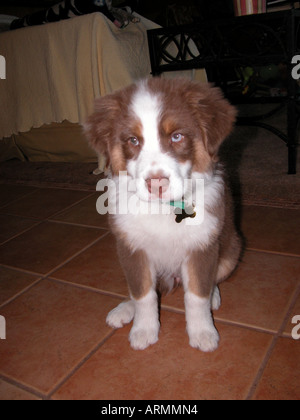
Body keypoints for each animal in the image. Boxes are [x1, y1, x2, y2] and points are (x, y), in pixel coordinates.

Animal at [84, 76, 241, 352]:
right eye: (133, 141)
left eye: (177, 136)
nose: (156, 184)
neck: (163, 208)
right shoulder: (131, 247)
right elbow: (142, 293)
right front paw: (144, 330)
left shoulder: (202, 244)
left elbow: (197, 295)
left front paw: (203, 332)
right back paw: (123, 310)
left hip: (232, 251)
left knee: (213, 278)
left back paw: (214, 296)